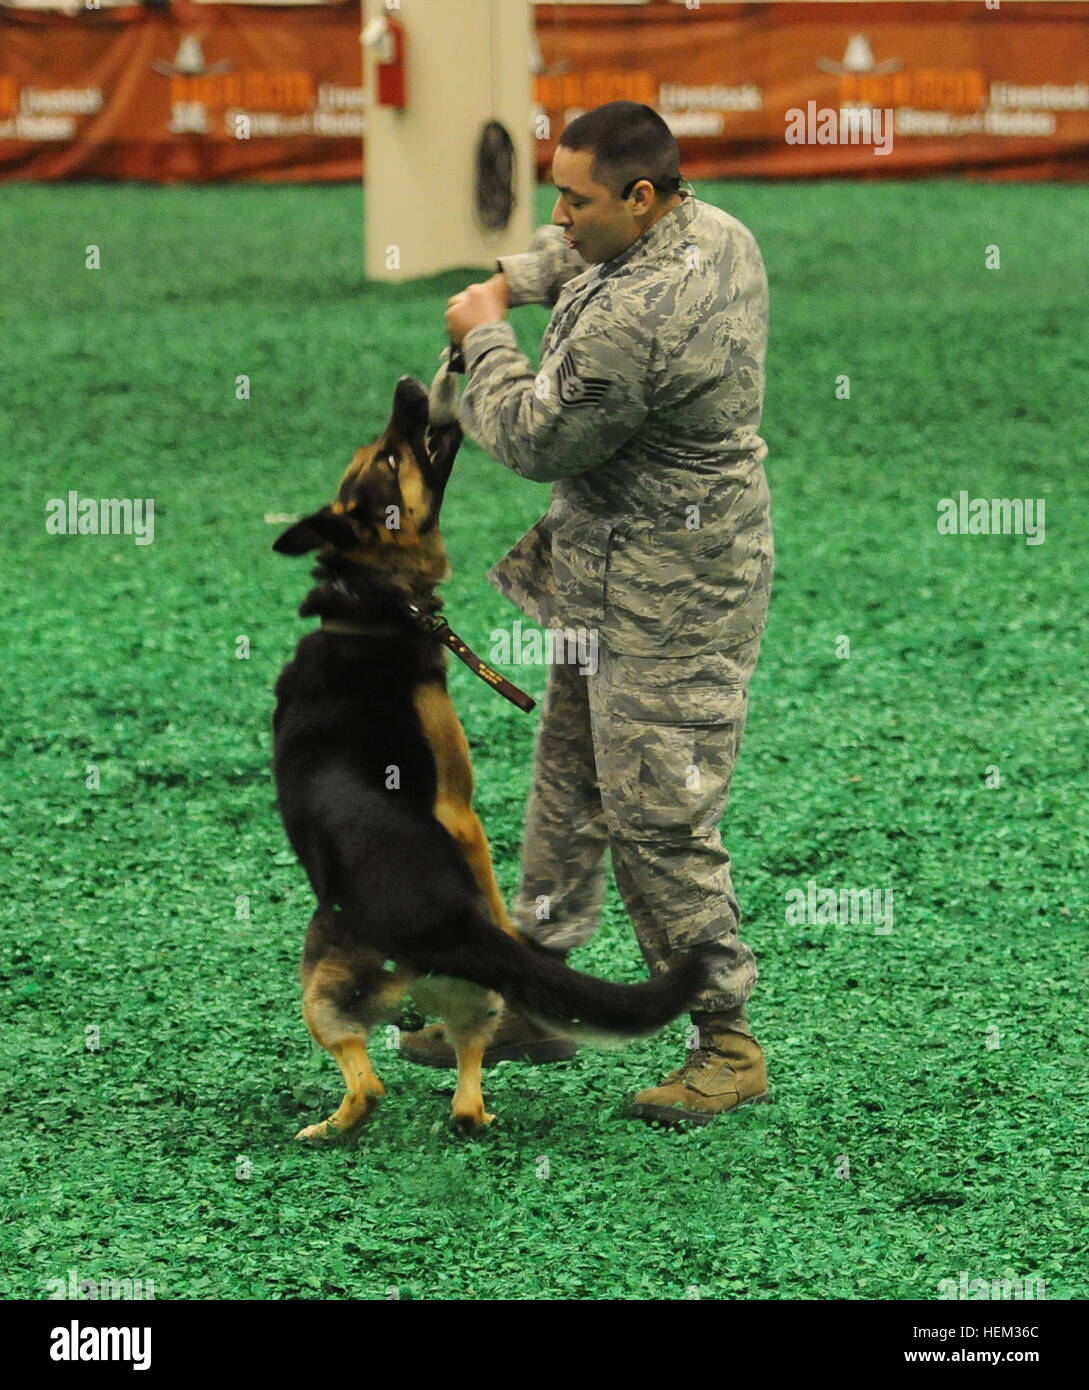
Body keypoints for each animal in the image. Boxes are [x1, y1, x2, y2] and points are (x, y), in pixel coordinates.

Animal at [272, 375, 706, 1134]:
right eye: (389, 459)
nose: (409, 385)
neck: (366, 604)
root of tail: (441, 927)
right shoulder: (459, 807)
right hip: (327, 986)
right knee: (378, 1086)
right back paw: (335, 1126)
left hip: (366, 996)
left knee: (445, 1097)